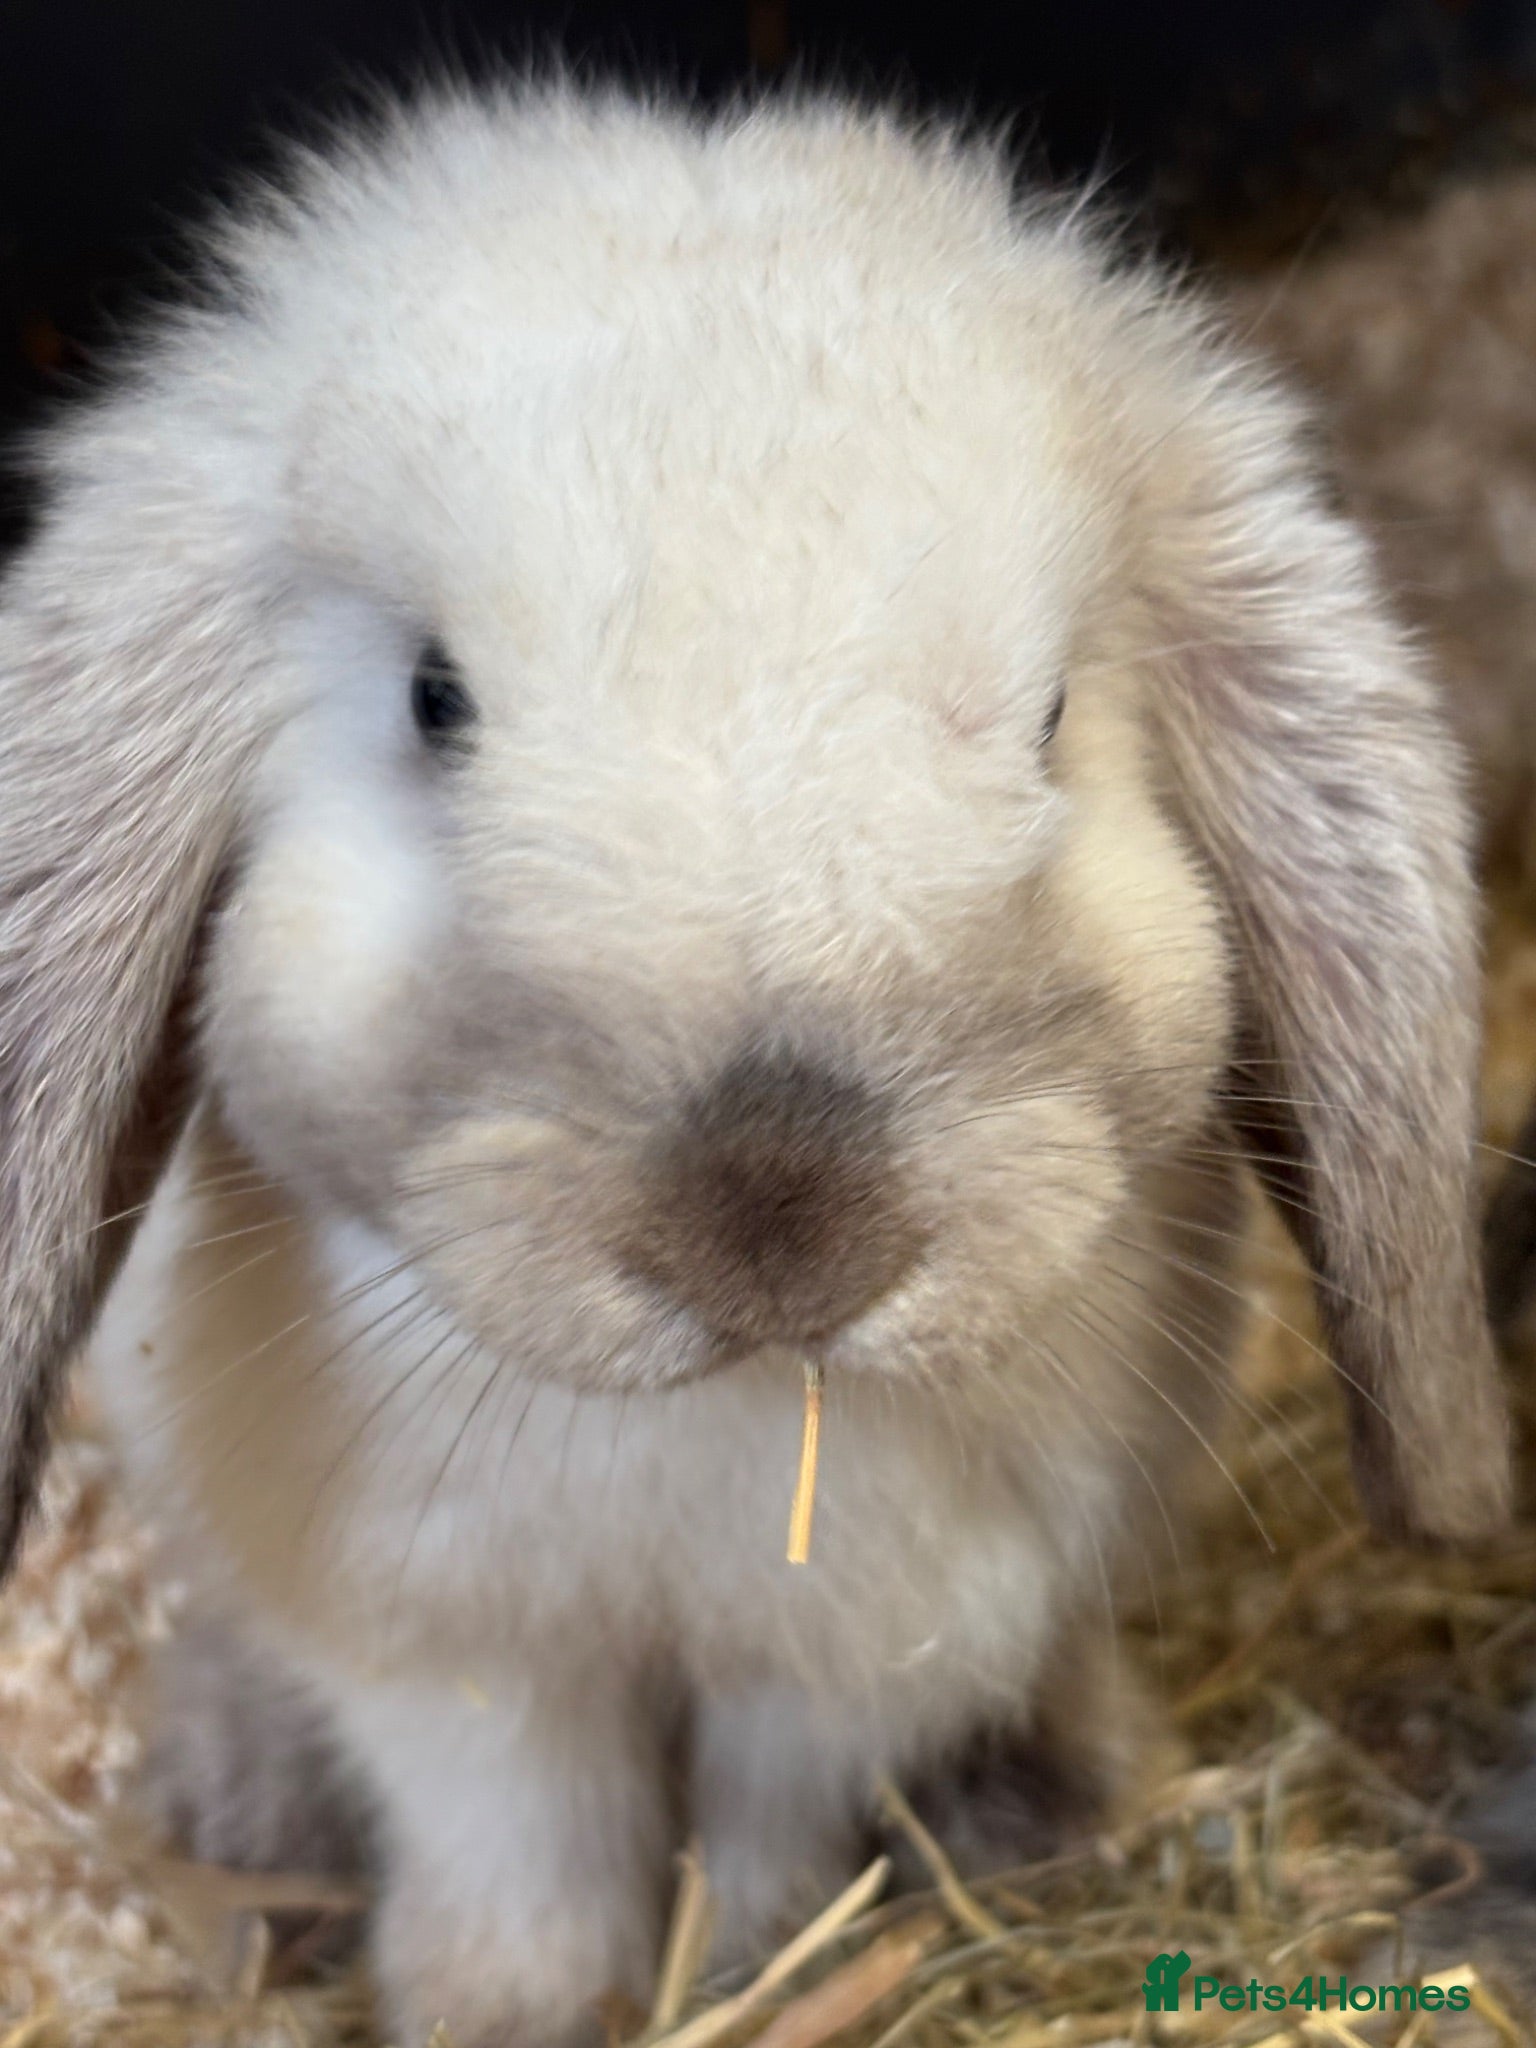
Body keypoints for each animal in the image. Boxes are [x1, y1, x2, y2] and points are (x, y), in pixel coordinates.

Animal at [0, 83, 1512, 2048]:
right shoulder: (460, 1663)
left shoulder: (854, 1661)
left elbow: (767, 1843)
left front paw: (745, 1975)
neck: (718, 1430)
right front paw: (507, 2012)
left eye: (1050, 718)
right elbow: (523, 1868)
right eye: (433, 700)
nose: (781, 1221)